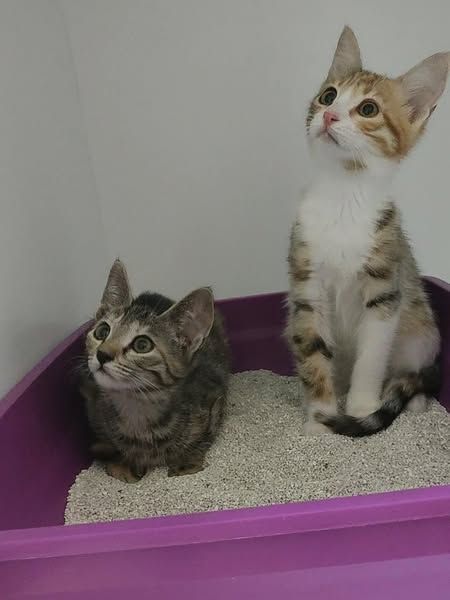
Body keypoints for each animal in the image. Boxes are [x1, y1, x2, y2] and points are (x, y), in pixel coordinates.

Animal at [80, 259, 230, 482]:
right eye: (102, 331)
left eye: (142, 345)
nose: (102, 354)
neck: (136, 408)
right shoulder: (94, 405)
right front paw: (123, 465)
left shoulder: (214, 398)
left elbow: (201, 438)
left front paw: (186, 463)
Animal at [287, 26, 447, 437]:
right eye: (329, 95)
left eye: (368, 109)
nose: (328, 114)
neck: (343, 196)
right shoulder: (307, 289)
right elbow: (313, 353)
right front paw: (320, 418)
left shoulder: (384, 292)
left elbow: (372, 357)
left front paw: (360, 408)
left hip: (420, 334)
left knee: (410, 375)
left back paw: (413, 400)